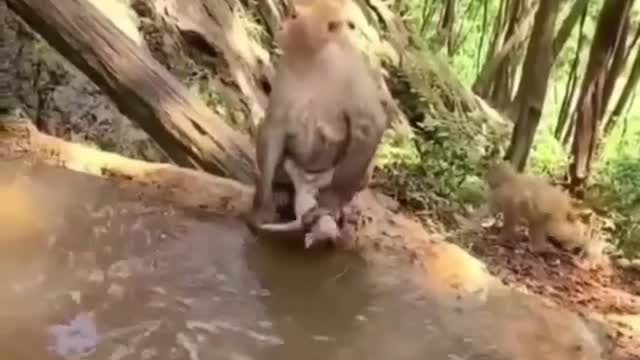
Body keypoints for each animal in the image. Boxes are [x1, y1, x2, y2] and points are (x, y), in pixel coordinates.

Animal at [246, 0, 388, 245]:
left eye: (294, 16)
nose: (281, 27)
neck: (315, 57)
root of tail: (308, 182)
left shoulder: (351, 72)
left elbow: (369, 126)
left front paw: (331, 204)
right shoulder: (286, 66)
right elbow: (274, 125)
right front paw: (262, 205)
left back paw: (343, 208)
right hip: (291, 166)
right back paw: (282, 191)